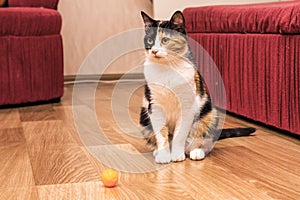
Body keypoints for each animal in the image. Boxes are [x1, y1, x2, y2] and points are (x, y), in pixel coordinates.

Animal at [141, 10, 255, 163]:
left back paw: (196, 151)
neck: (167, 69)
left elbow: (180, 134)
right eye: (149, 41)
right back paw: (157, 152)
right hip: (144, 116)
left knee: (204, 138)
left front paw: (177, 155)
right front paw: (164, 156)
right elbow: (160, 133)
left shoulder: (187, 104)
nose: (154, 51)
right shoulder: (155, 105)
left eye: (165, 40)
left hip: (209, 112)